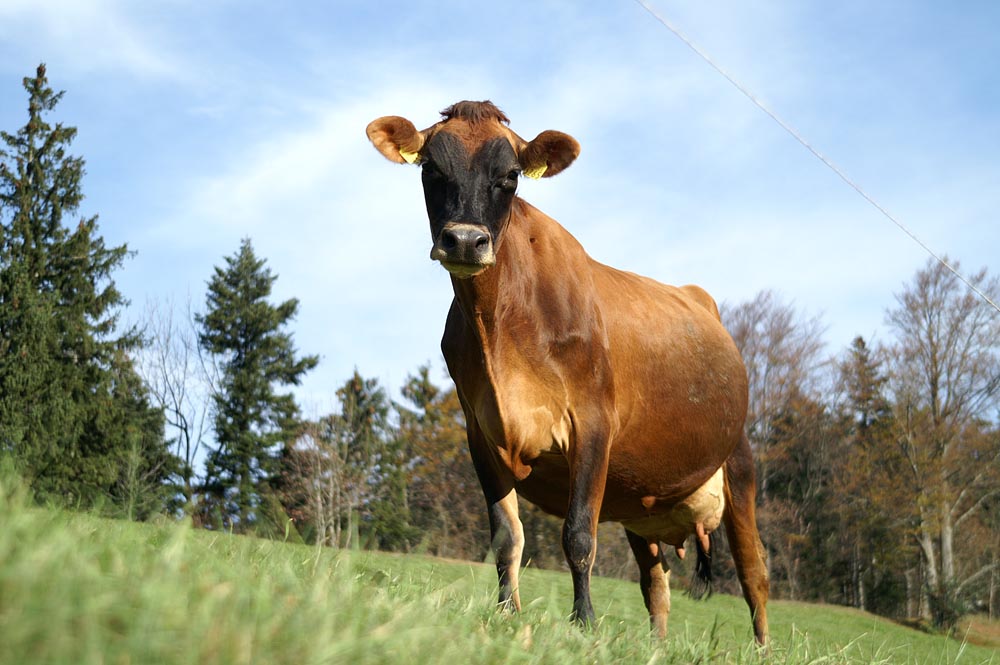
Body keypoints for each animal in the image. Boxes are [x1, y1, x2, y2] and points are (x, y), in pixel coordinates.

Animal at [366, 101, 764, 640]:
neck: (502, 330)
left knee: (754, 576)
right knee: (656, 587)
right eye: (430, 169)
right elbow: (506, 536)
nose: (465, 240)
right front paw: (507, 613)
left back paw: (763, 647)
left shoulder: (592, 424)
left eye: (510, 176)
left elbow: (578, 535)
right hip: (641, 502)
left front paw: (584, 623)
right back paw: (657, 646)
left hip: (739, 467)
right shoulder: (480, 432)